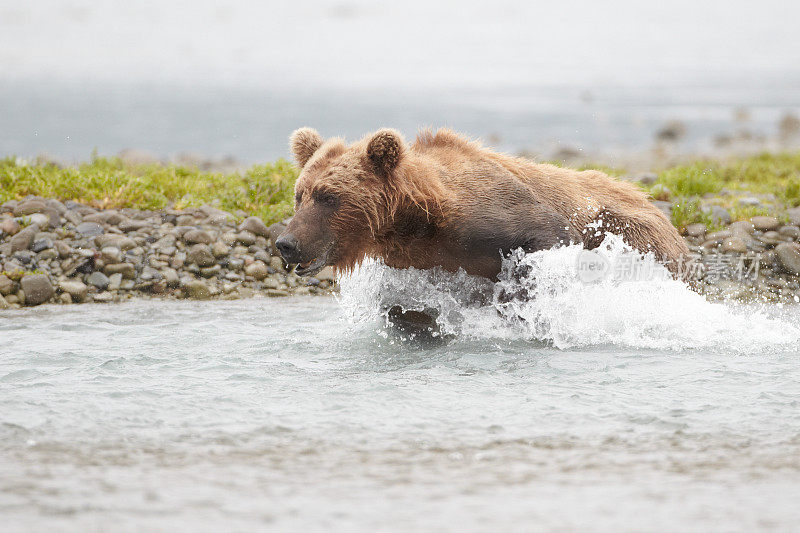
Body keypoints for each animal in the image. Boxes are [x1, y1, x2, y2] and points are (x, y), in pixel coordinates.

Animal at [276, 127, 688, 280]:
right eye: (299, 195)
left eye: (329, 197)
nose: (285, 242)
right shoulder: (418, 259)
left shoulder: (496, 212)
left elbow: (549, 235)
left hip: (635, 230)